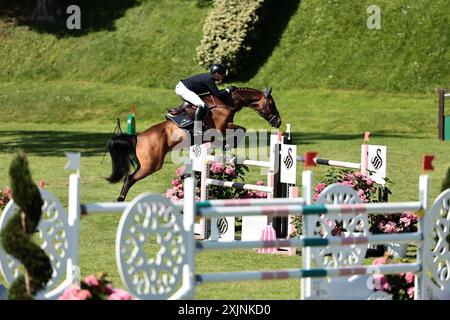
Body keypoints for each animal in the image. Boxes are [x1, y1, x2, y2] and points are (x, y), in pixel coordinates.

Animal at [107, 87, 280, 202]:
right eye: (271, 103)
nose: (278, 122)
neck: (227, 102)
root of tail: (138, 137)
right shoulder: (220, 128)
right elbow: (240, 130)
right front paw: (227, 145)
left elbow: (240, 130)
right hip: (151, 164)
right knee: (130, 178)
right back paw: (120, 199)